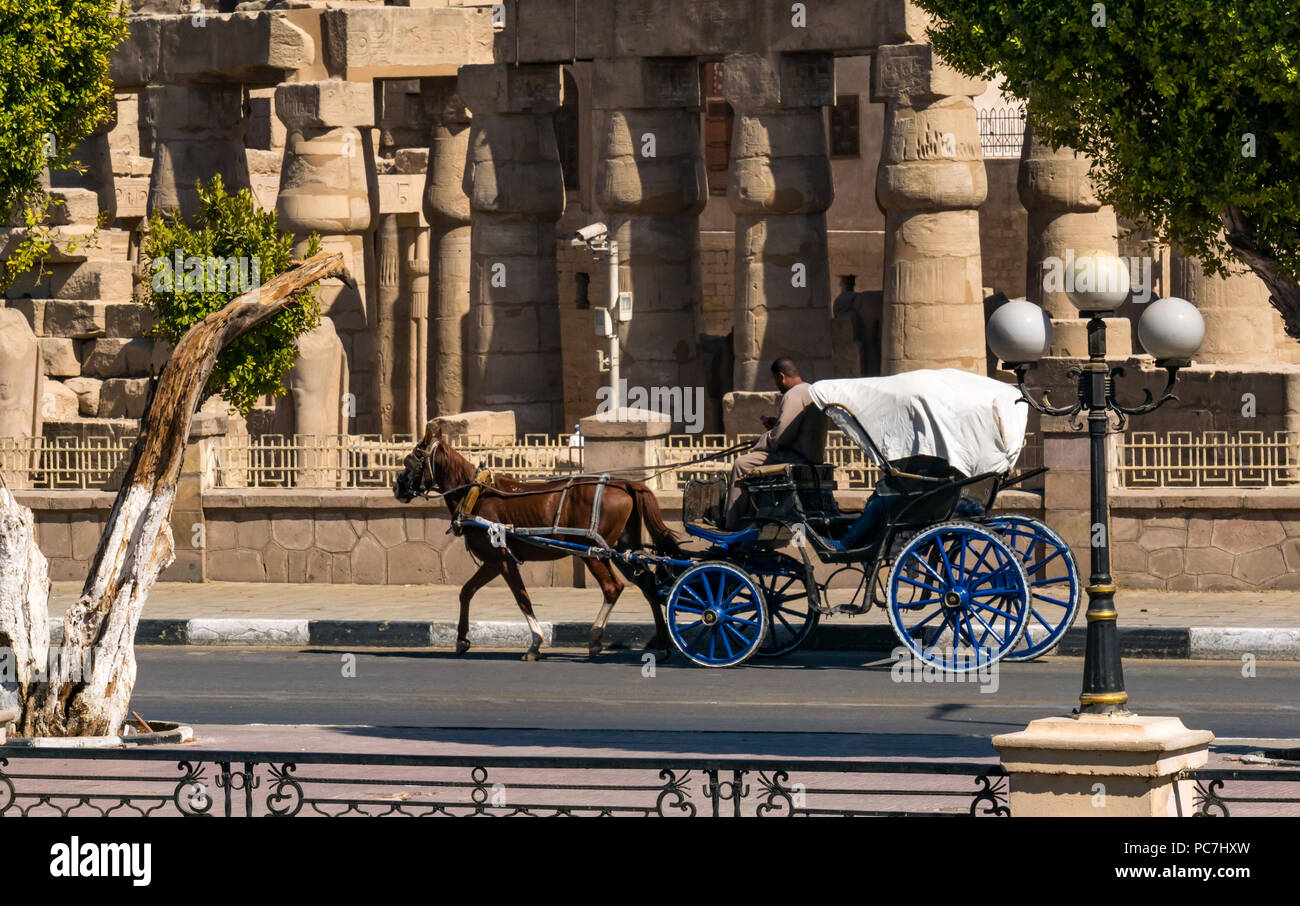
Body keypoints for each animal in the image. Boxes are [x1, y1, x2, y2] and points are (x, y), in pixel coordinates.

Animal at [392, 421, 681, 660]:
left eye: (411, 459)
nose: (397, 487)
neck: (476, 494)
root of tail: (628, 485)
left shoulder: (503, 560)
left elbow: (522, 598)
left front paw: (535, 643)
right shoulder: (492, 562)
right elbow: (467, 592)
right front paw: (462, 639)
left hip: (593, 552)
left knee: (613, 588)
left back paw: (596, 638)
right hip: (623, 549)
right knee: (649, 587)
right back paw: (662, 645)